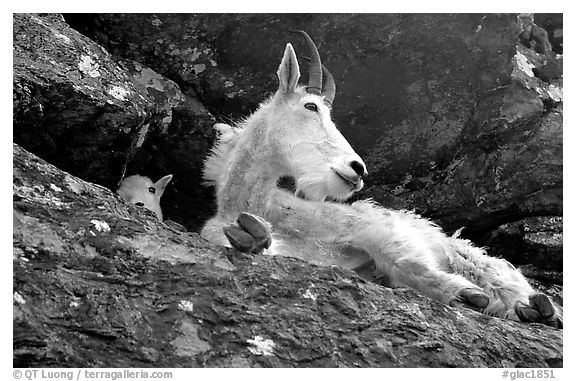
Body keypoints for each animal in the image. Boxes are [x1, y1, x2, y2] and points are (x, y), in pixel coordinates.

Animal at [200, 31, 560, 326]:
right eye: (311, 106)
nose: (358, 169)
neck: (264, 206)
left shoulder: (375, 230)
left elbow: (403, 261)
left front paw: (467, 295)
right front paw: (252, 237)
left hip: (466, 255)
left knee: (505, 278)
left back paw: (535, 308)